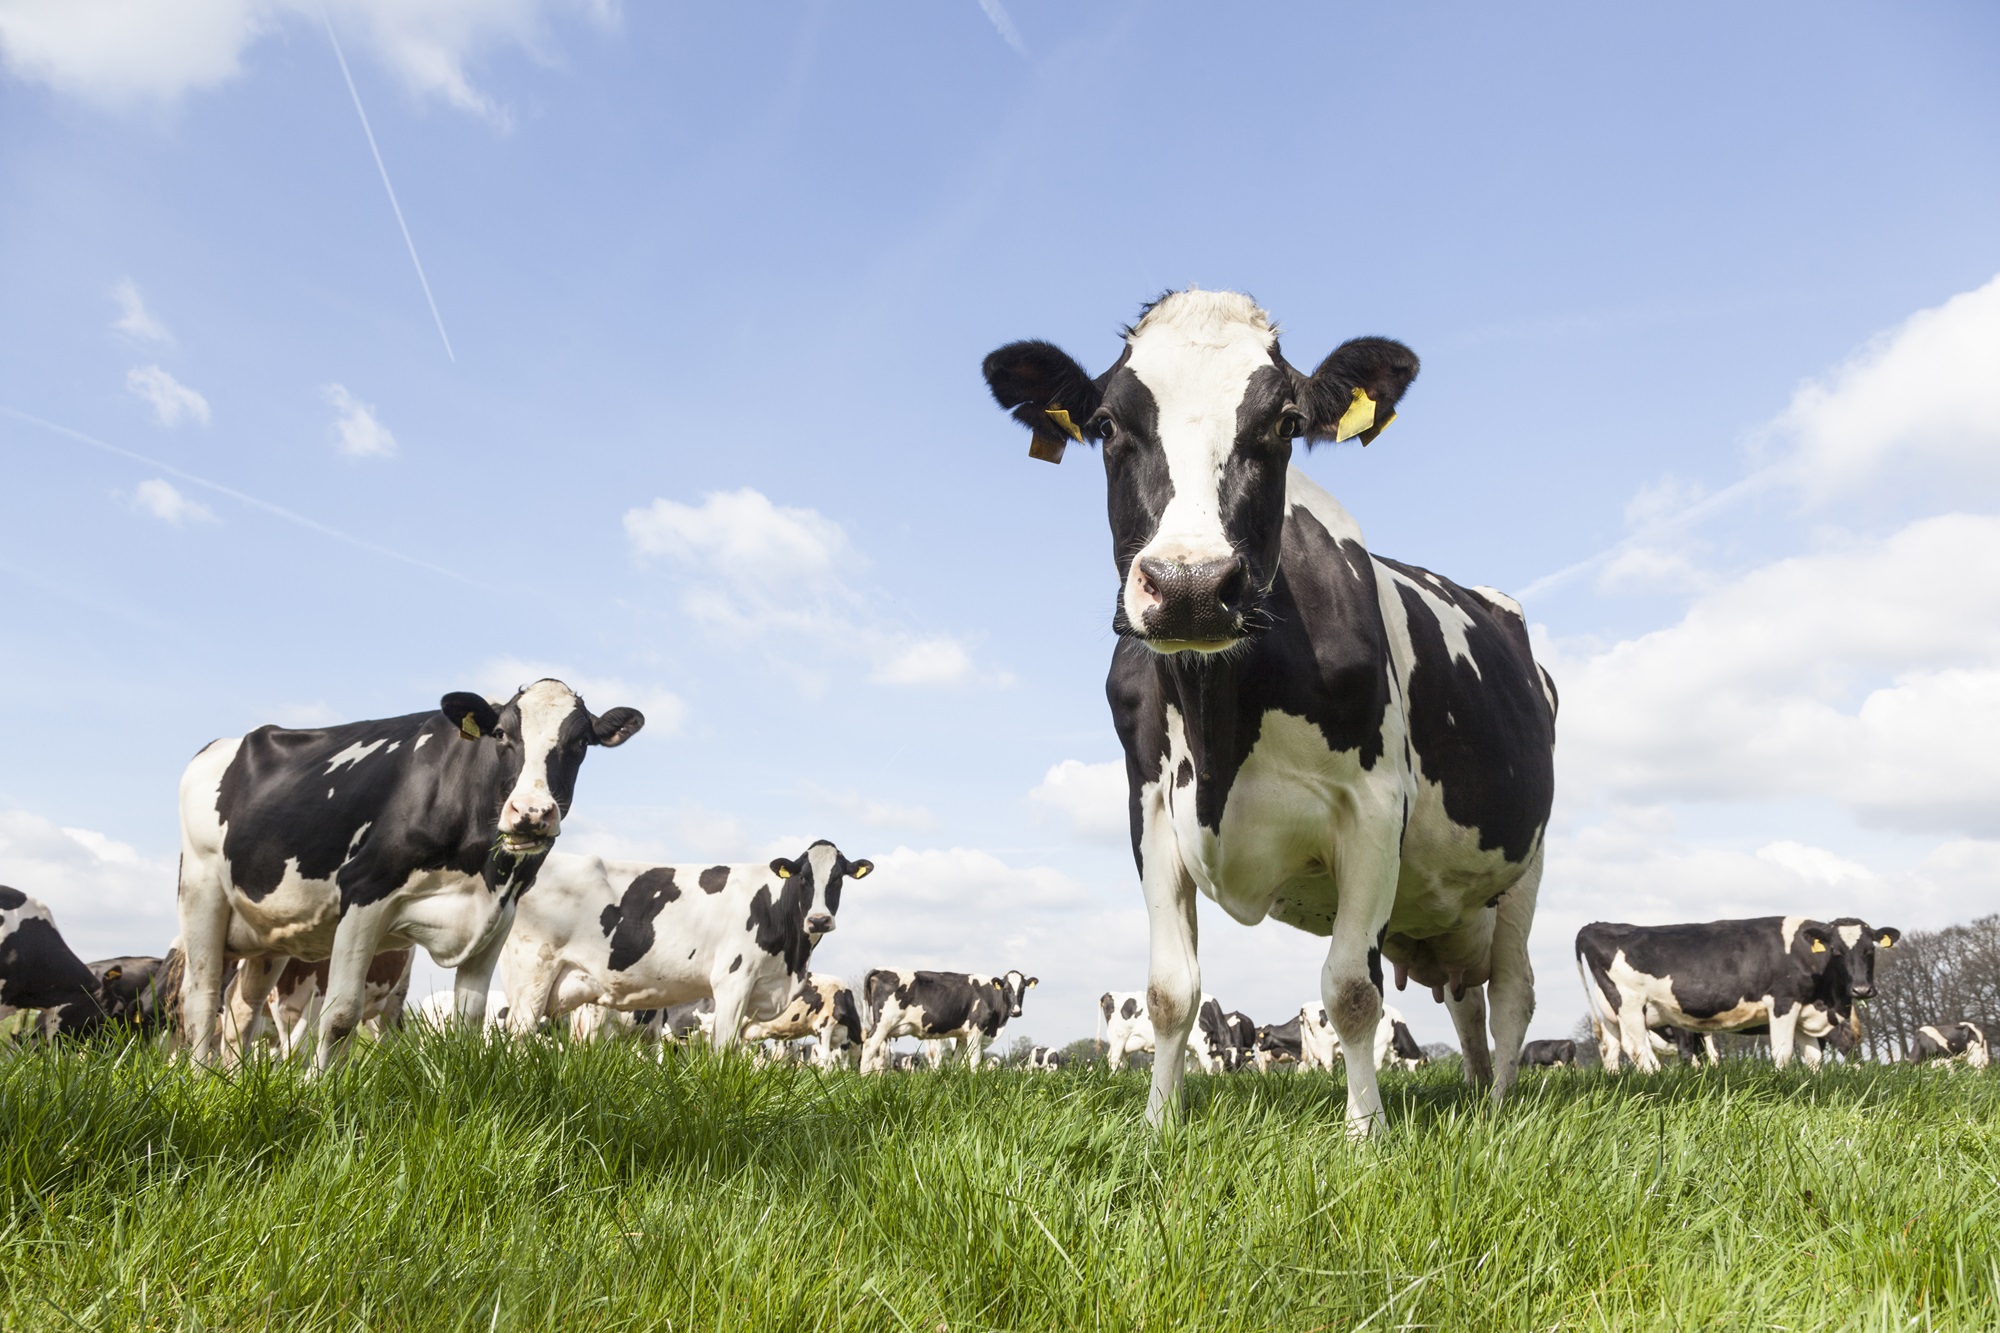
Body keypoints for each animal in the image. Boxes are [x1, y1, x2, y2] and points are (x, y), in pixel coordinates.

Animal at [176, 679, 644, 1067]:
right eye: (501, 734)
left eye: (580, 741)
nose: (531, 813)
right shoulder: (363, 890)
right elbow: (341, 1015)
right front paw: (317, 1095)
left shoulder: (498, 915)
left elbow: (468, 1020)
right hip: (201, 891)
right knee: (201, 1000)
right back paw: (201, 1082)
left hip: (269, 930)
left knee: (242, 1010)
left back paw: (233, 1081)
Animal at [500, 841, 867, 1050]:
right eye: (804, 877)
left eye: (838, 878)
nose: (819, 920)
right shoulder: (733, 982)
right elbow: (724, 1049)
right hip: (531, 975)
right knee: (518, 1036)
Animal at [860, 969, 1035, 1072]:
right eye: (1006, 989)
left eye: (1022, 989)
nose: (1016, 1011)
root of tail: (880, 970)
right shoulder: (976, 1031)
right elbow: (974, 1062)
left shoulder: (963, 1037)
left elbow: (959, 1062)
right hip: (883, 1025)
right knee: (869, 1047)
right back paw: (864, 1079)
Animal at [984, 290, 1557, 1134]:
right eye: (1109, 426)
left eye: (1285, 423)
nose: (1190, 585)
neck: (1222, 722)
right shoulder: (1151, 807)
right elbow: (1170, 991)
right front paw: (1156, 1126)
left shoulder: (1375, 808)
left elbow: (1351, 991)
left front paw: (1365, 1131)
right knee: (1466, 1002)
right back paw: (1476, 1090)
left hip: (1524, 866)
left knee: (1512, 992)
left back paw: (1498, 1106)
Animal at [1576, 916, 1897, 1072]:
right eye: (1836, 951)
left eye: (1870, 950)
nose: (1861, 989)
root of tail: (1596, 926)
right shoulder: (1783, 1003)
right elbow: (1782, 1053)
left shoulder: (1806, 1013)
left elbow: (1813, 1058)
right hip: (1630, 1004)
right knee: (1637, 1049)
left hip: (1612, 1014)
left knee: (1611, 1050)